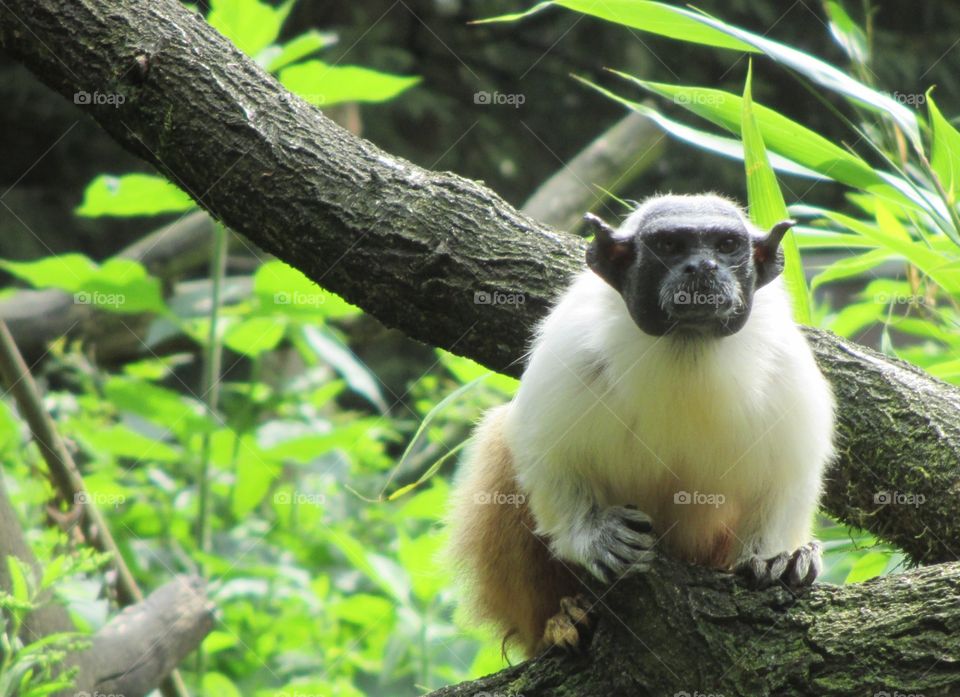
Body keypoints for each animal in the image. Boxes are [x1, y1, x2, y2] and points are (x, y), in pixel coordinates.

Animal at [447, 193, 835, 657]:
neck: (686, 347)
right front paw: (595, 536)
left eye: (726, 245)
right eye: (669, 246)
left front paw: (776, 558)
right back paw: (560, 619)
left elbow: (787, 480)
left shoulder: (787, 371)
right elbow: (545, 455)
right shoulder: (569, 352)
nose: (702, 267)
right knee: (500, 443)